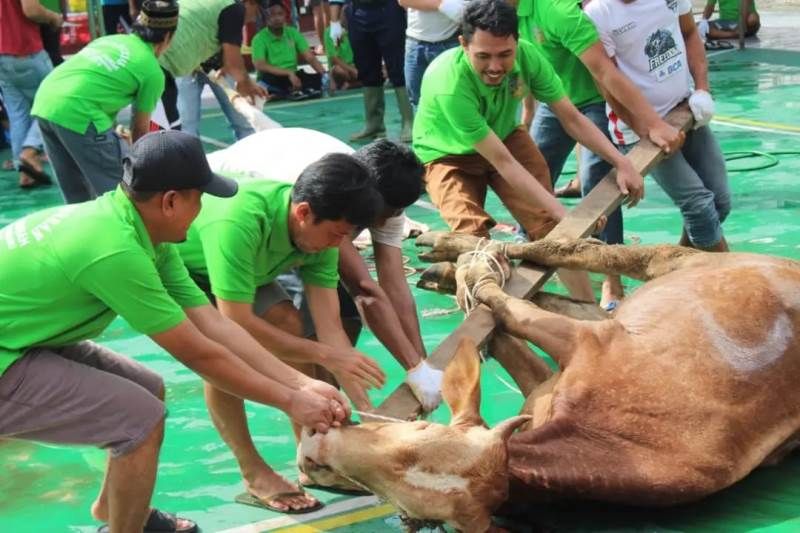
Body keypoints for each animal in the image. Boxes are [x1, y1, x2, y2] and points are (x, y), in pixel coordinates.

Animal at [298, 235, 800, 528]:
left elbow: (506, 312)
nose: (315, 451)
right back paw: (451, 253)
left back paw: (455, 259)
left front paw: (473, 275)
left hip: (676, 264)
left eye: (413, 517)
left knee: (583, 252)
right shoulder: (567, 361)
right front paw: (470, 273)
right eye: (419, 427)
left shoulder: (587, 341)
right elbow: (504, 322)